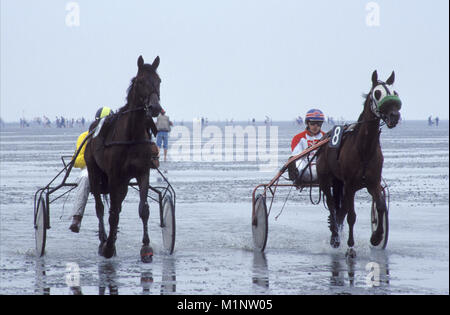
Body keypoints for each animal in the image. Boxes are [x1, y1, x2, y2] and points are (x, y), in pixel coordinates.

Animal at [84, 55, 162, 262]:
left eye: (159, 81)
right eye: (140, 81)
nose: (155, 108)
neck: (131, 135)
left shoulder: (142, 172)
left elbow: (143, 209)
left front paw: (146, 247)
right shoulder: (114, 175)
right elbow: (111, 213)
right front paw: (109, 247)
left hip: (124, 182)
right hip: (94, 171)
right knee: (100, 207)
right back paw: (104, 240)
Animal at [314, 70, 402, 258]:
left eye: (395, 92)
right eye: (377, 93)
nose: (394, 116)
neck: (364, 149)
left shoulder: (373, 183)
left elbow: (380, 206)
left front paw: (377, 237)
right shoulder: (350, 185)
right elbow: (351, 216)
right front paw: (350, 247)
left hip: (339, 182)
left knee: (340, 211)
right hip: (325, 180)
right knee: (332, 206)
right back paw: (335, 238)